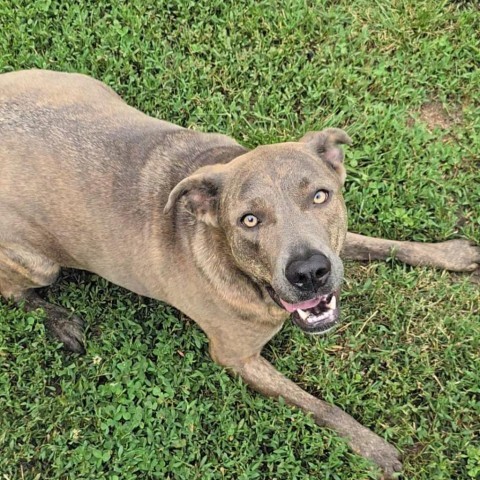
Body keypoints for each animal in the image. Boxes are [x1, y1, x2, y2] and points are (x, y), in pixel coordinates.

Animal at [0, 69, 480, 478]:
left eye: (320, 196)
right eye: (249, 220)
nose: (309, 272)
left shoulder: (337, 247)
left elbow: (385, 244)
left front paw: (451, 252)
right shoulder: (236, 357)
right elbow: (320, 407)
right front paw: (373, 447)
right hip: (39, 263)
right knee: (15, 293)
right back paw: (60, 321)